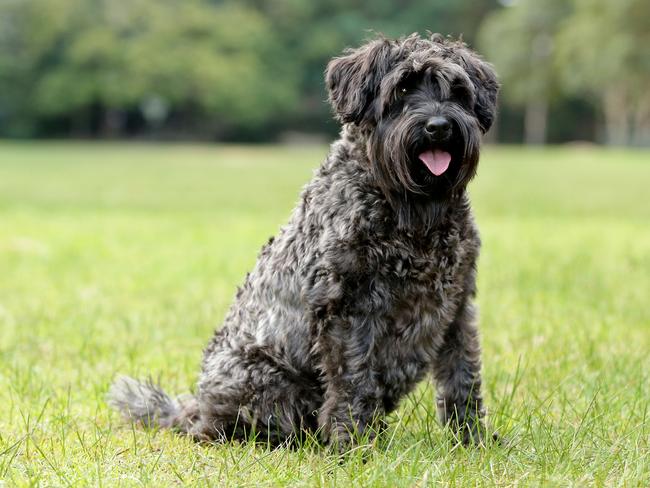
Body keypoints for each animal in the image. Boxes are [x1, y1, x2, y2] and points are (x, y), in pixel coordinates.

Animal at [110, 32, 496, 448]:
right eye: (404, 87)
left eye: (457, 90)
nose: (438, 126)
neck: (411, 213)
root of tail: (194, 407)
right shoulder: (346, 310)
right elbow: (352, 381)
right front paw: (351, 444)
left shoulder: (457, 305)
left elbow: (462, 377)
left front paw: (473, 440)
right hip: (265, 378)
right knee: (230, 427)